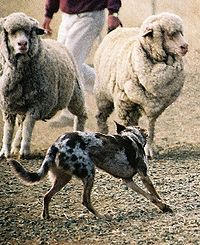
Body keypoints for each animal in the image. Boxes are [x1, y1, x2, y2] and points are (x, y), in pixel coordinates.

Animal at [0, 12, 87, 159]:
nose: (23, 44)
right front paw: (5, 151)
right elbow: (9, 128)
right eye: (10, 32)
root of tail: (57, 43)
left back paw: (78, 133)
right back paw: (15, 146)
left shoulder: (38, 103)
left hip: (76, 93)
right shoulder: (8, 104)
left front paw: (25, 151)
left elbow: (28, 125)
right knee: (20, 124)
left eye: (30, 31)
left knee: (81, 114)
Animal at [9, 122, 172, 218]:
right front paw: (164, 205)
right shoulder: (144, 175)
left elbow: (149, 196)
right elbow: (154, 194)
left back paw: (46, 216)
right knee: (85, 200)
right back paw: (101, 216)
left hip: (63, 179)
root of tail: (56, 145)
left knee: (46, 196)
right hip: (89, 174)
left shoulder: (128, 181)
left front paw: (162, 205)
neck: (131, 136)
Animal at [93, 12, 188, 158]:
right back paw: (103, 133)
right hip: (103, 95)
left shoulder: (154, 104)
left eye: (180, 32)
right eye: (167, 33)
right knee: (101, 117)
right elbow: (127, 123)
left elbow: (150, 125)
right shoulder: (125, 103)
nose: (185, 46)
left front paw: (149, 148)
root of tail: (118, 29)